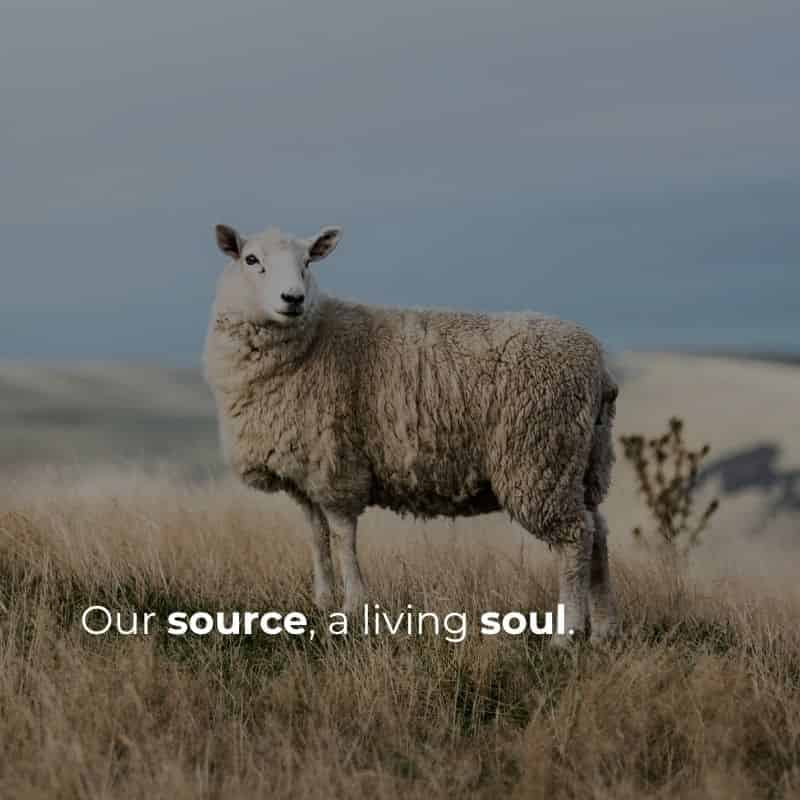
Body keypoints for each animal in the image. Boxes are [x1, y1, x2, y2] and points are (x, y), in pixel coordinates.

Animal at [204, 223, 619, 643]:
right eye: (251, 259)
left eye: (307, 262)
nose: (293, 298)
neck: (314, 340)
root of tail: (598, 364)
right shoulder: (305, 474)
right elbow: (317, 537)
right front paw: (321, 602)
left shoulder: (337, 467)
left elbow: (342, 537)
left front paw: (352, 607)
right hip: (583, 462)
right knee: (597, 533)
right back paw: (602, 630)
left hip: (540, 459)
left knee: (574, 539)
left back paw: (566, 634)